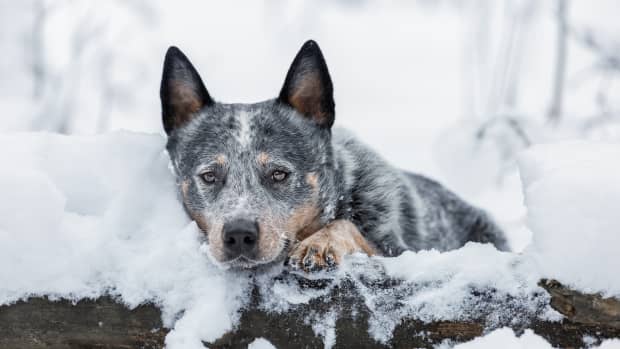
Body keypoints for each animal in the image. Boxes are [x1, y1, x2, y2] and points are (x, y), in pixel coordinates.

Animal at [160, 40, 508, 270]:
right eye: (209, 176)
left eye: (279, 174)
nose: (239, 234)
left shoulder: (401, 249)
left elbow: (347, 227)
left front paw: (320, 242)